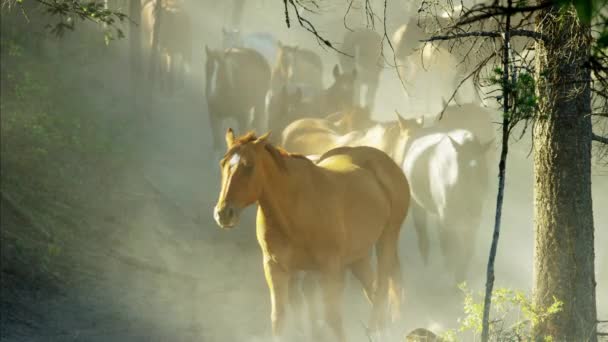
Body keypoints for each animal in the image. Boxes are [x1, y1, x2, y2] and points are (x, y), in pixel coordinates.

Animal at [213, 130, 408, 340]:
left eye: (249, 166)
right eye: (223, 163)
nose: (223, 213)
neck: (294, 208)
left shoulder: (330, 268)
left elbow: (333, 318)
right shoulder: (275, 267)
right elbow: (278, 318)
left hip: (387, 239)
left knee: (381, 291)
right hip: (358, 257)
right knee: (373, 291)